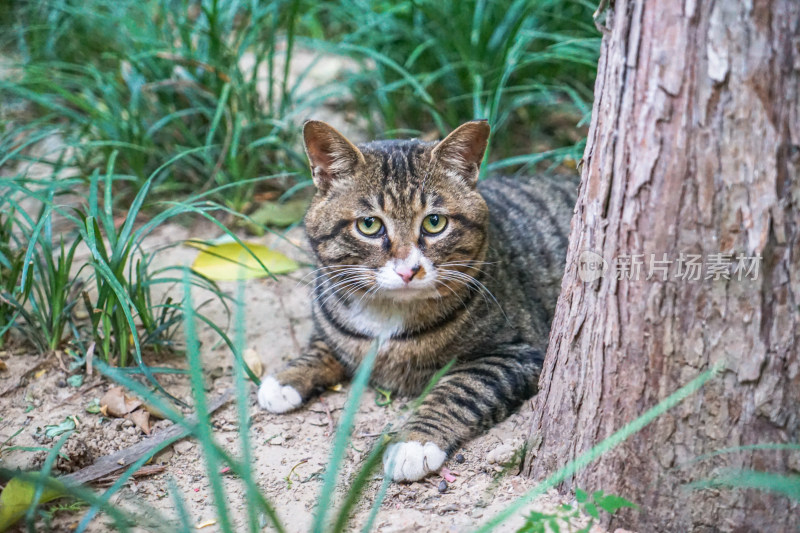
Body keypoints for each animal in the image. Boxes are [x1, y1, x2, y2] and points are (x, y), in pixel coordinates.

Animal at [260, 119, 580, 482]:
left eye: (434, 222)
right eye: (369, 224)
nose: (408, 270)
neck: (387, 314)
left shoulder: (517, 353)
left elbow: (457, 391)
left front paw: (414, 441)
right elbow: (323, 346)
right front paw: (286, 378)